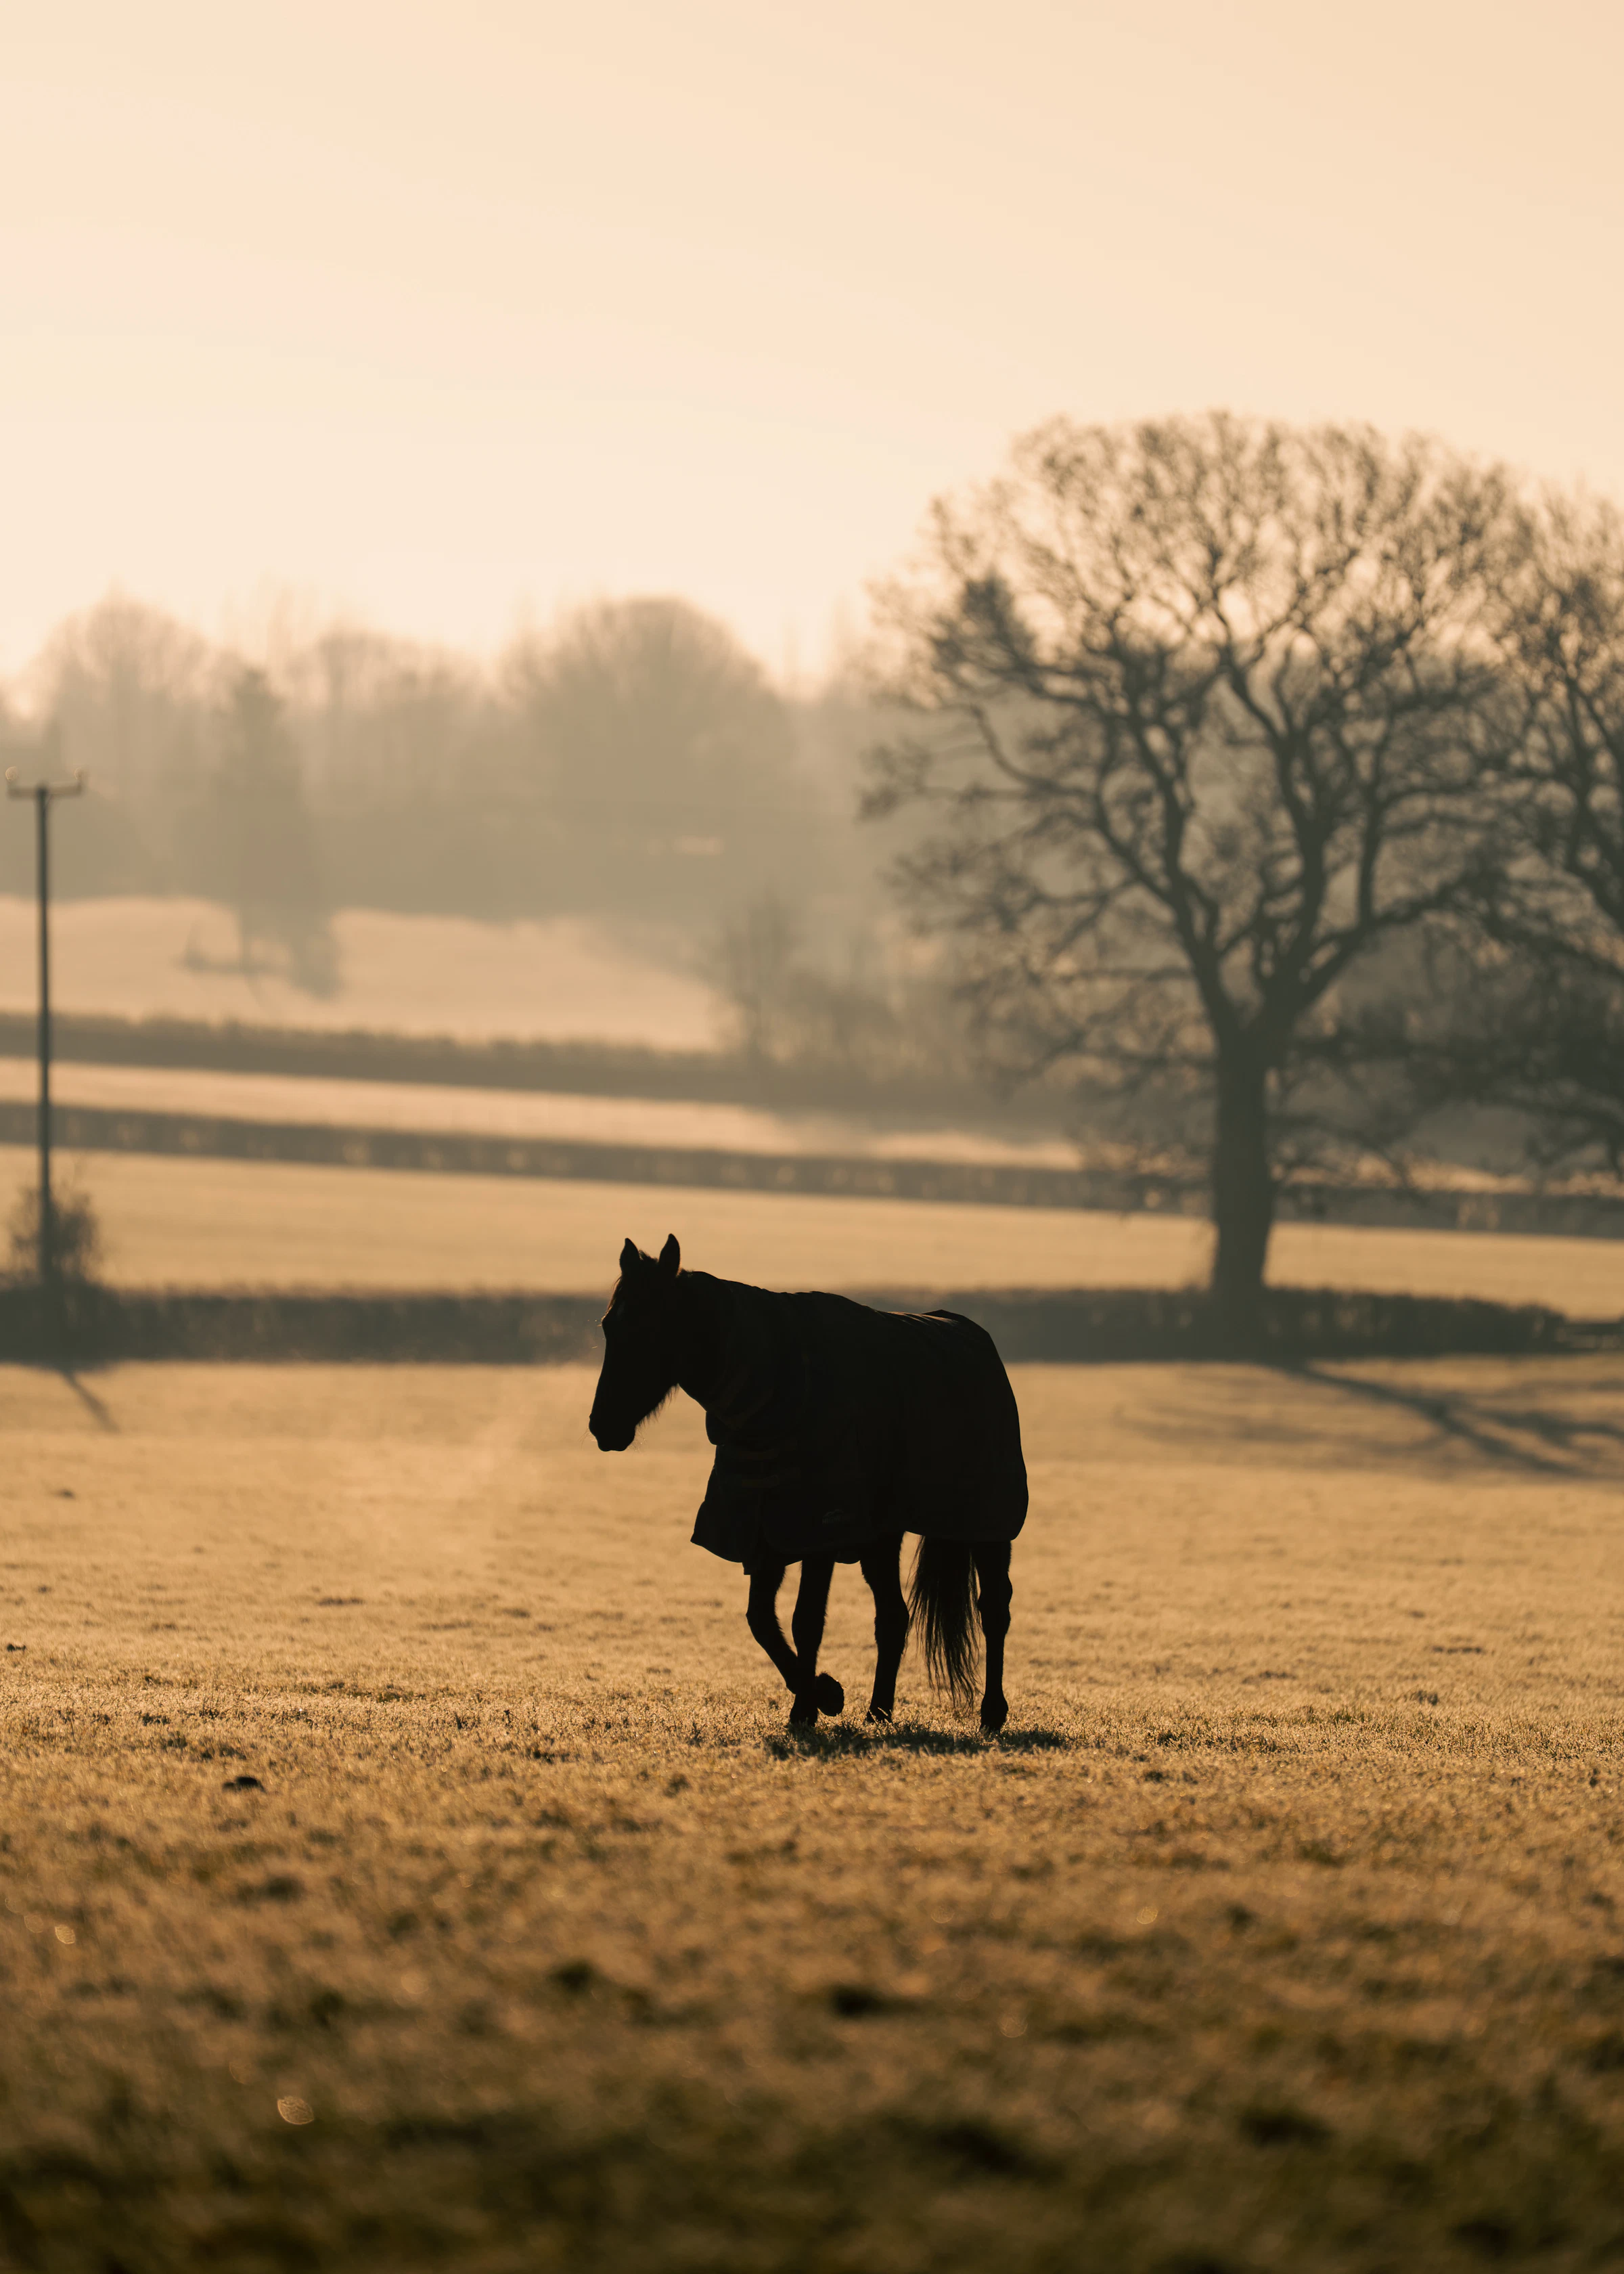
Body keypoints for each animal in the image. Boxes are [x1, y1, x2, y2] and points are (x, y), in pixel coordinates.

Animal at [587, 1235, 1028, 1732]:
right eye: (609, 1325)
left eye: (652, 1327)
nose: (603, 1427)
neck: (777, 1398)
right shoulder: (763, 1528)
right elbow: (761, 1619)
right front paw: (821, 1696)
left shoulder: (818, 1531)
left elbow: (805, 1621)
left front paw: (814, 1704)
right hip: (883, 1535)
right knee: (893, 1617)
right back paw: (878, 1712)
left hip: (989, 1524)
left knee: (994, 1608)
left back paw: (991, 1714)